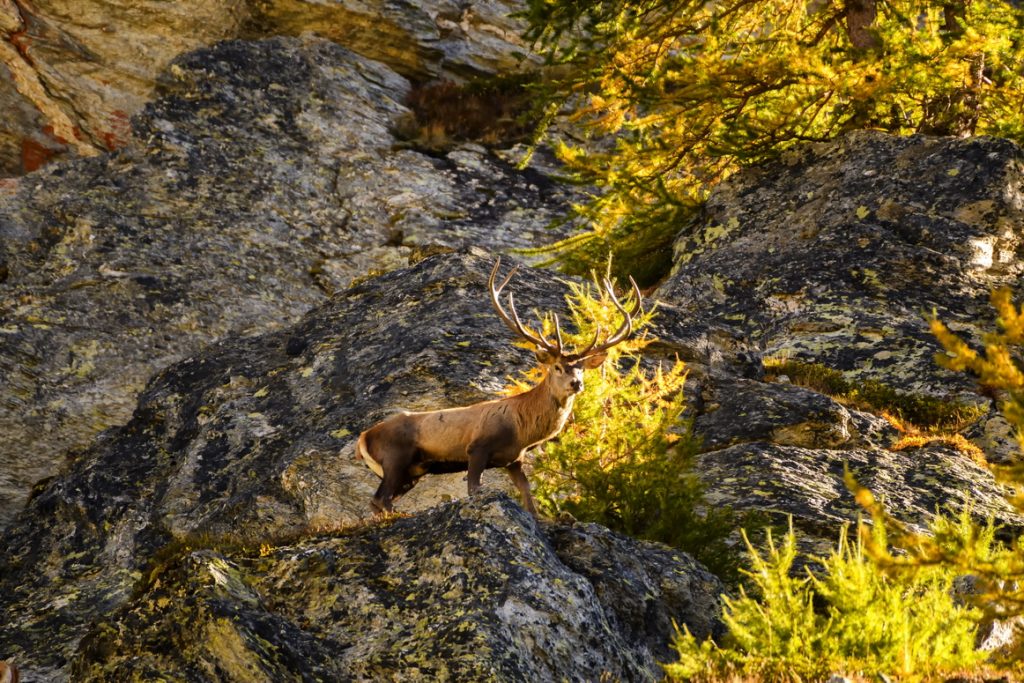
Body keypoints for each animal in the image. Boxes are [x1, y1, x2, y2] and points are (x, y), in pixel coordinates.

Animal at [356, 258, 642, 517]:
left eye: (581, 368)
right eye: (558, 367)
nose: (577, 383)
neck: (522, 429)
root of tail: (363, 438)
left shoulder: (514, 460)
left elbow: (528, 498)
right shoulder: (477, 448)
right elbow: (474, 489)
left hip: (413, 471)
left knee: (380, 500)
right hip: (396, 457)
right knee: (380, 499)